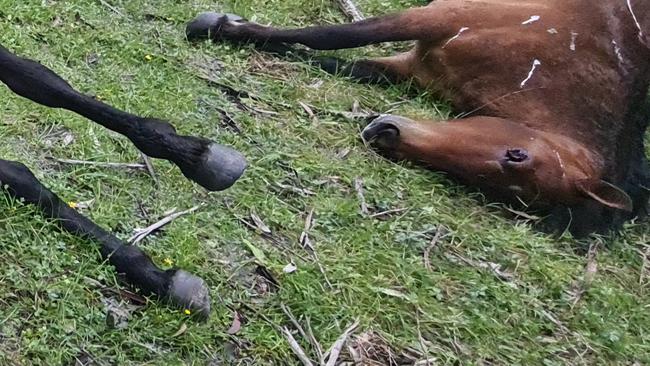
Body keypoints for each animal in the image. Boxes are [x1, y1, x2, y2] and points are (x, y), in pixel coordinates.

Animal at [186, 0, 648, 234]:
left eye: (499, 191)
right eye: (515, 155)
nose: (385, 133)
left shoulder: (417, 67)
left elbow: (348, 60)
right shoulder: (452, 12)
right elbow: (332, 34)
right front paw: (217, 26)